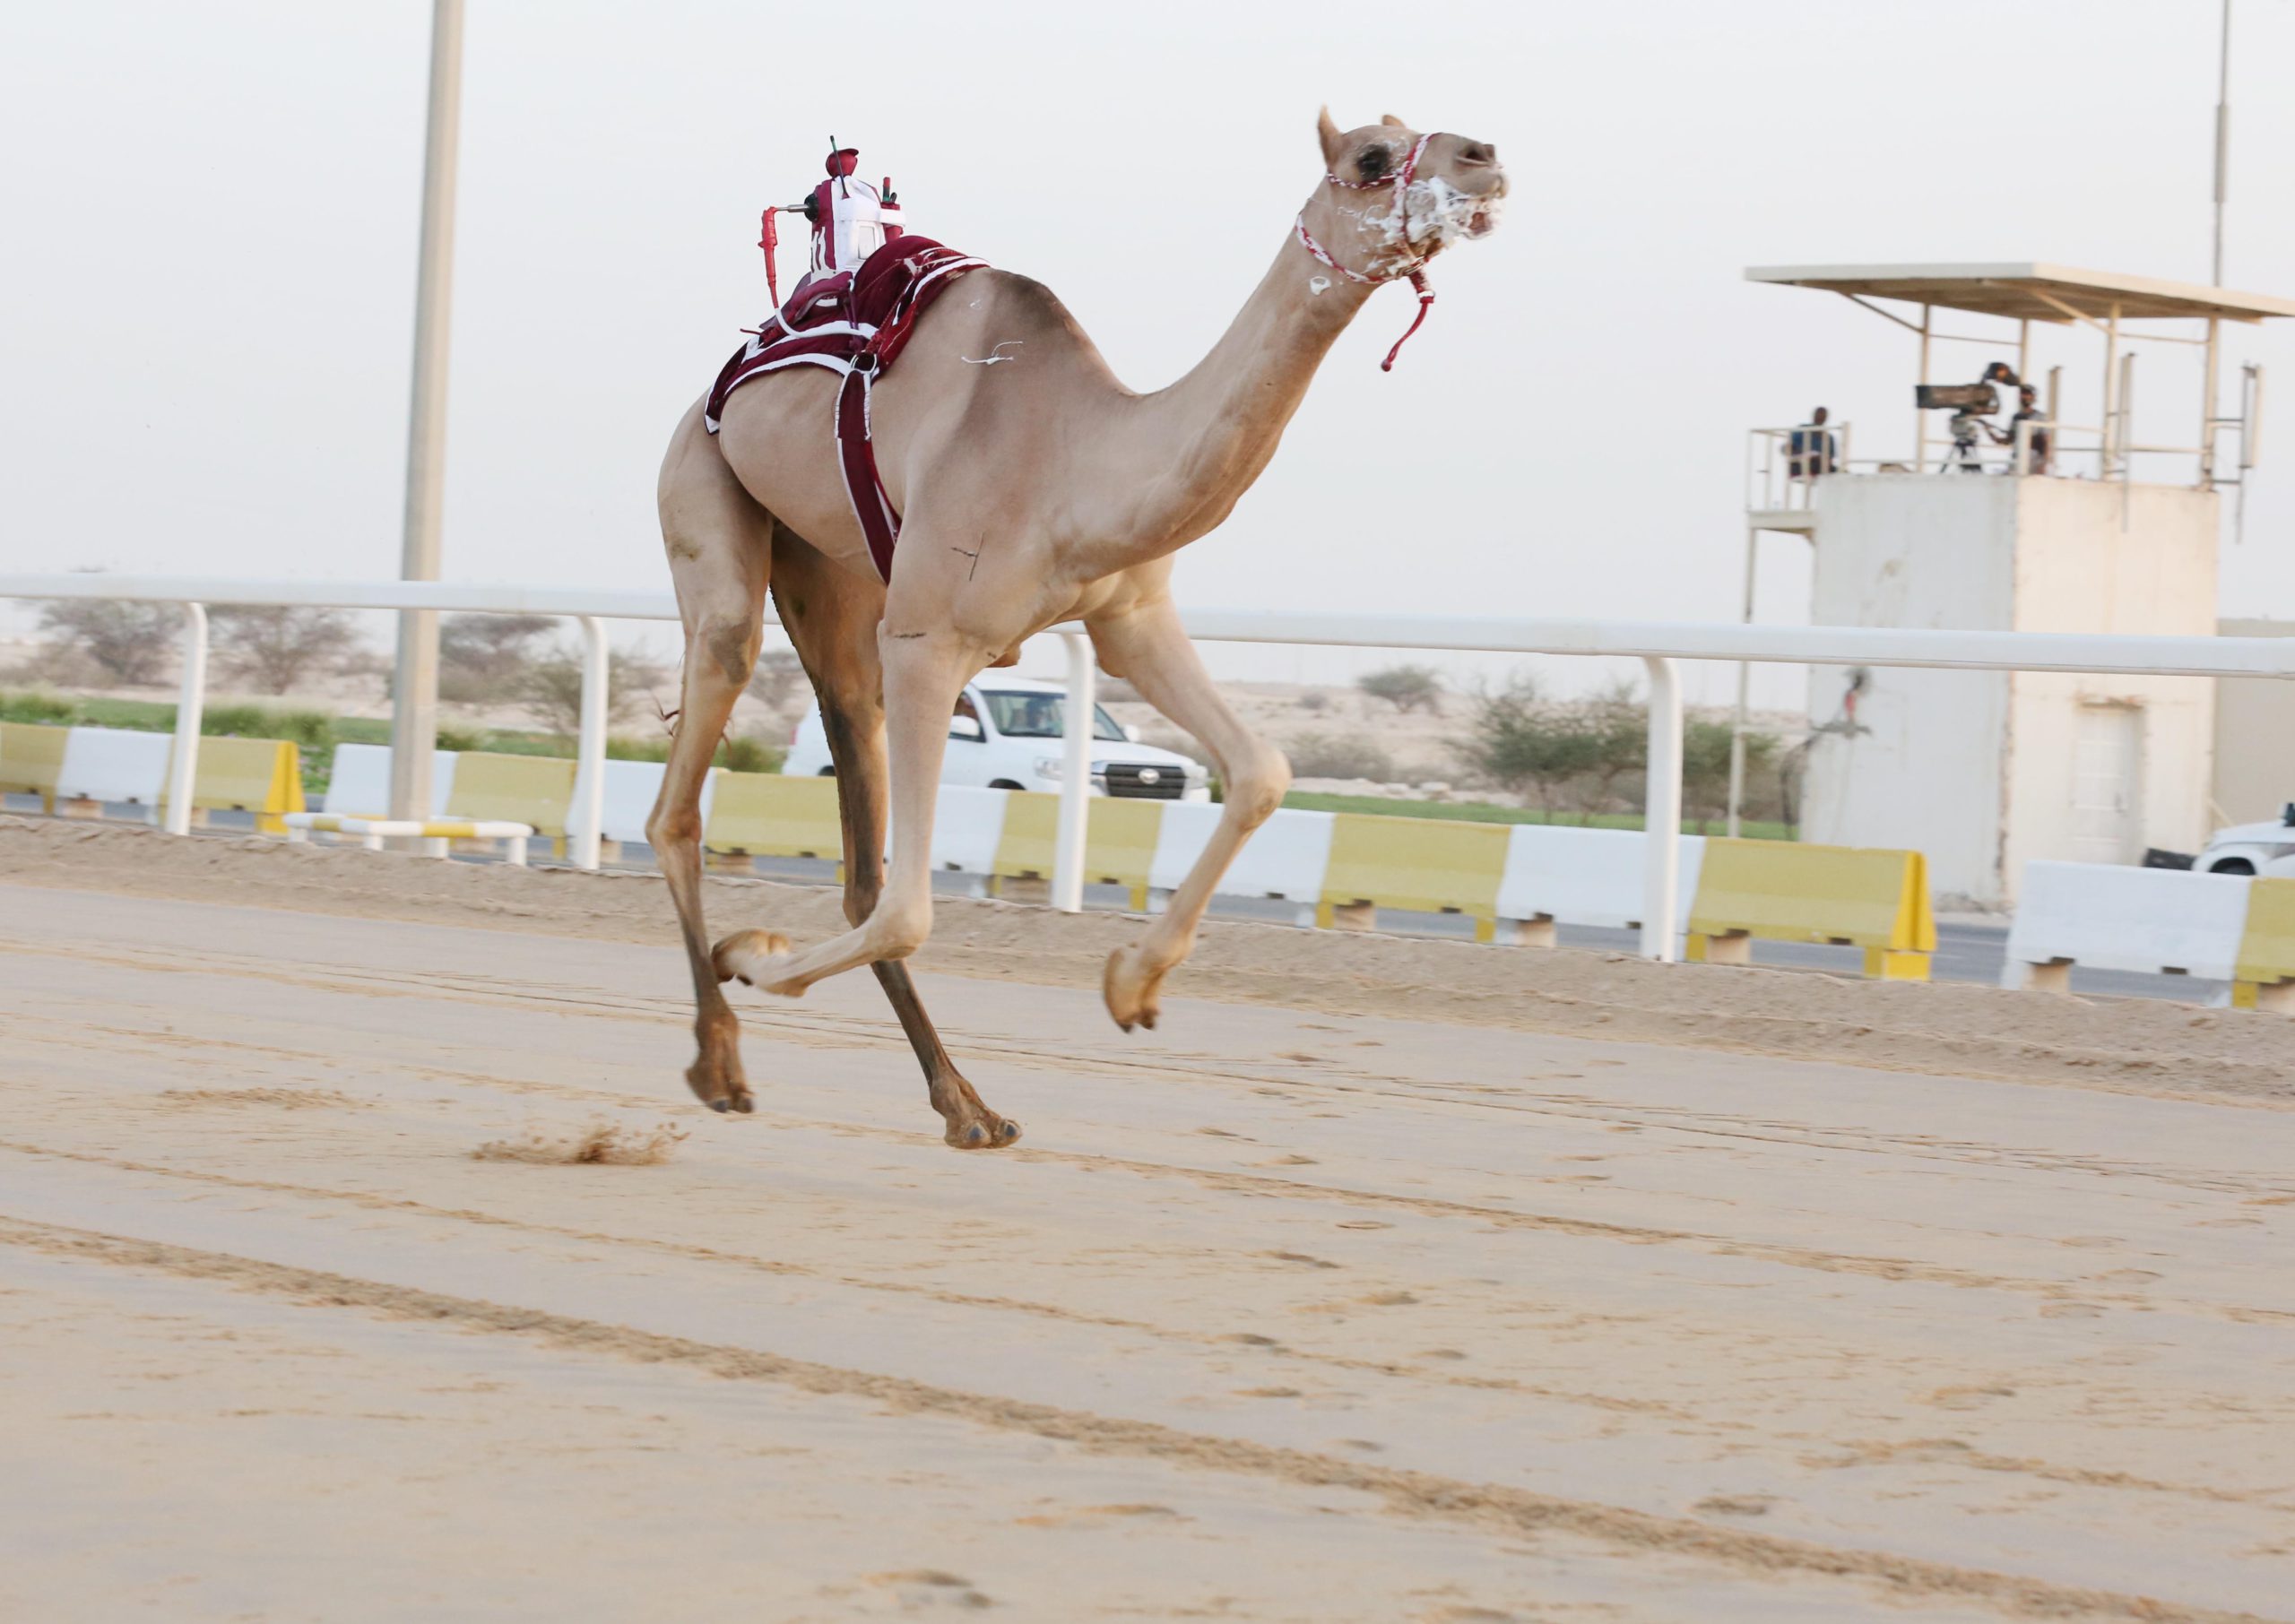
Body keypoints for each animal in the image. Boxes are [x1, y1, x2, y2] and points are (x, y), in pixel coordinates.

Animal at [646, 111, 1505, 1142]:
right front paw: (750, 951)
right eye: (1372, 159)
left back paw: (965, 1103)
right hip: (703, 483)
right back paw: (721, 1057)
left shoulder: (1128, 614)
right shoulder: (928, 641)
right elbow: (911, 910)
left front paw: (1132, 984)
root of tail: (736, 363)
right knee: (694, 766)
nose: (1485, 160)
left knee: (852, 817)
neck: (1074, 462)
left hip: (835, 579)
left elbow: (1263, 771)